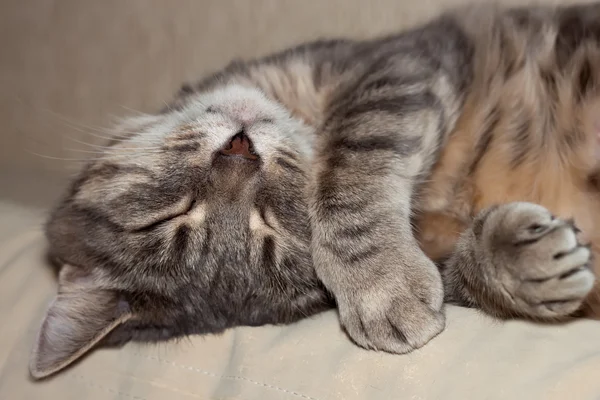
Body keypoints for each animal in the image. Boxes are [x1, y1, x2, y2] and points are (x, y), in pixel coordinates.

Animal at [30, 2, 596, 378]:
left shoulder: (392, 67)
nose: (240, 151)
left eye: (169, 214)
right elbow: (460, 271)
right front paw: (518, 264)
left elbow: (350, 165)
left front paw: (380, 280)